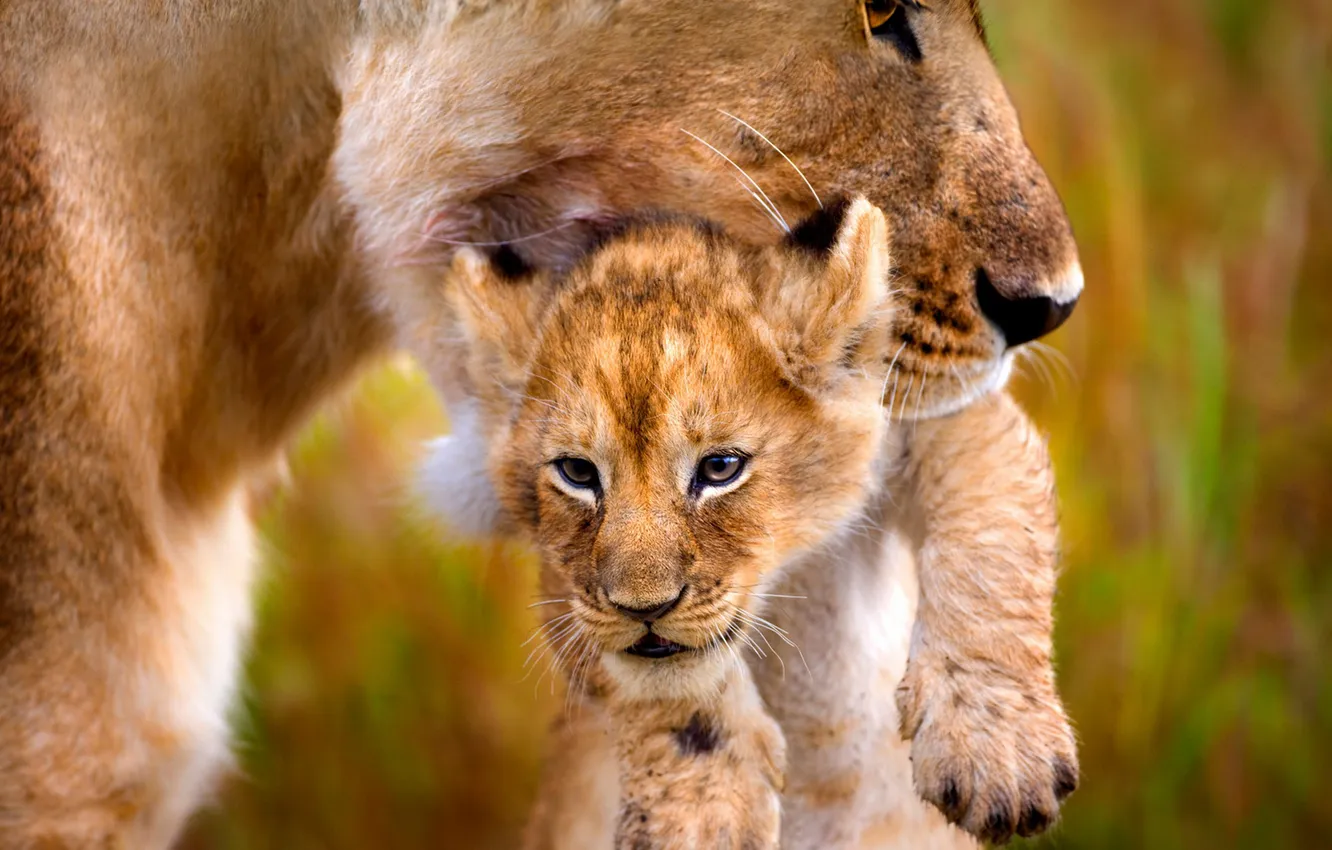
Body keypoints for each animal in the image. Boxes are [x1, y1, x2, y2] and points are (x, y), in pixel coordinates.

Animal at [423, 197, 1075, 848]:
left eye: (720, 468)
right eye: (578, 472)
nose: (643, 609)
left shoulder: (936, 410)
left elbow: (993, 534)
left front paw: (996, 749)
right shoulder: (571, 584)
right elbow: (670, 695)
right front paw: (699, 813)